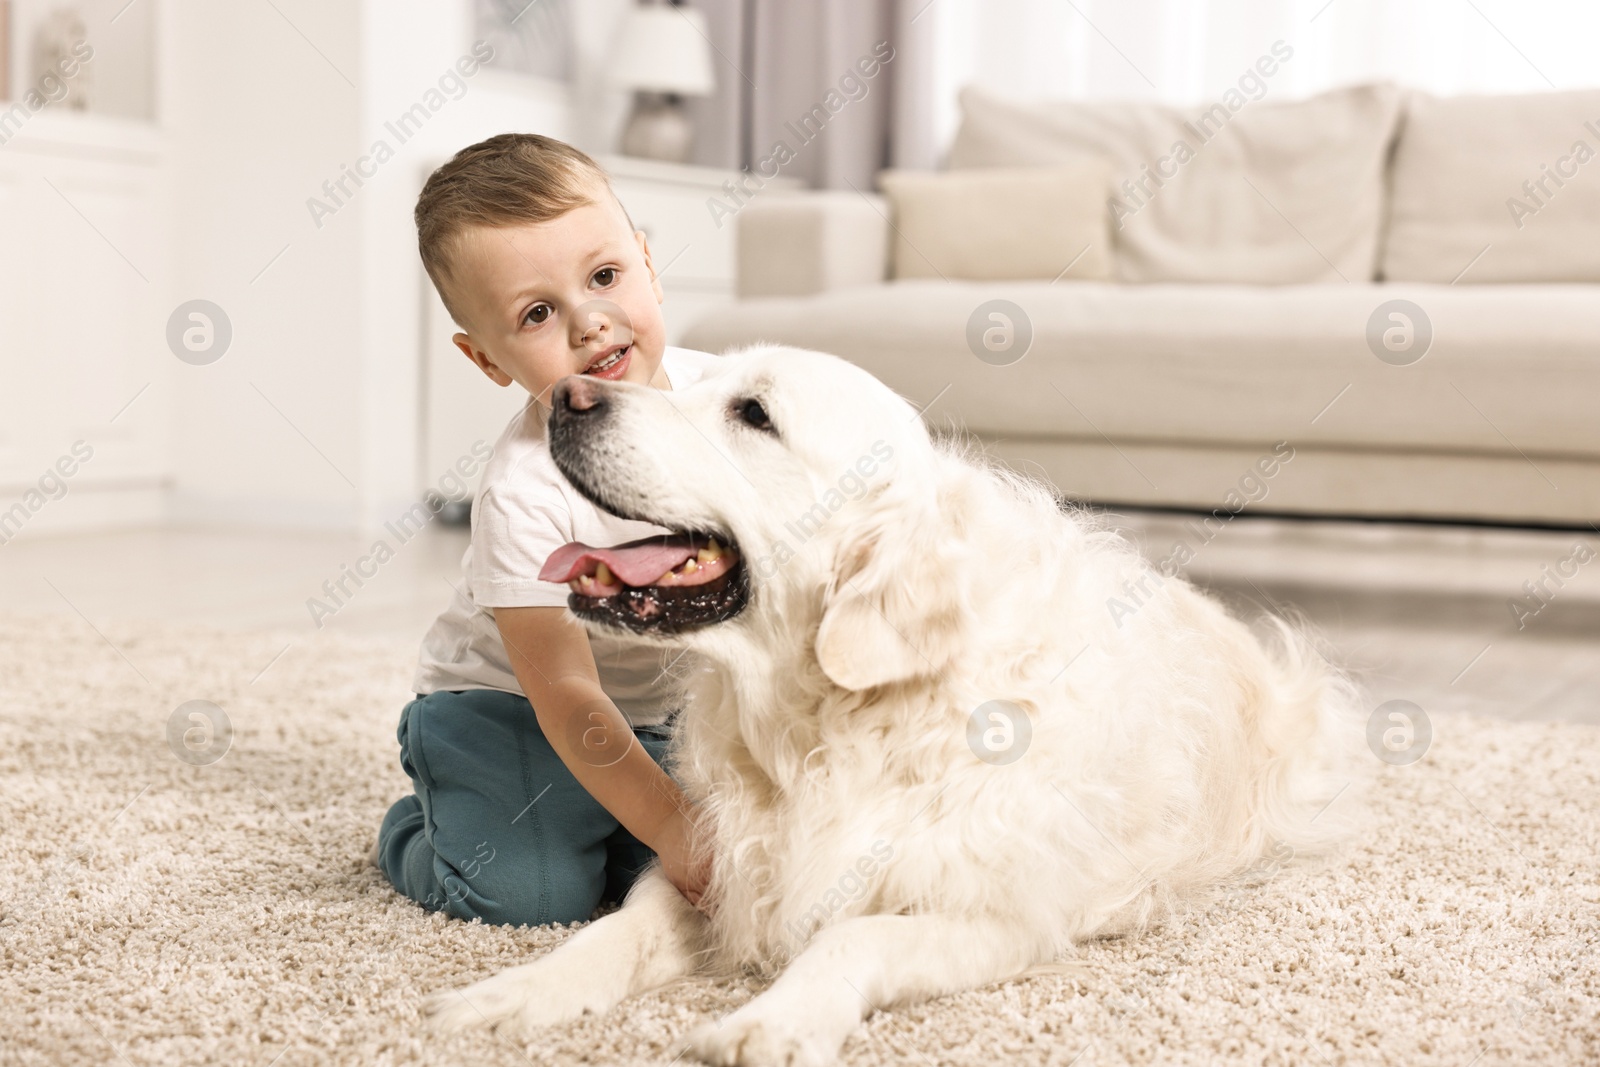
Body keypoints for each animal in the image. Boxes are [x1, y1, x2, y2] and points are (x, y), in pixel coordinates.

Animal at [419, 347, 1356, 1062]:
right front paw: (517, 989)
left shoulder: (996, 914)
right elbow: (617, 928)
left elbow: (852, 935)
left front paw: (770, 1020)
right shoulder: (715, 855)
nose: (565, 396)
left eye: (753, 413)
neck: (839, 721)